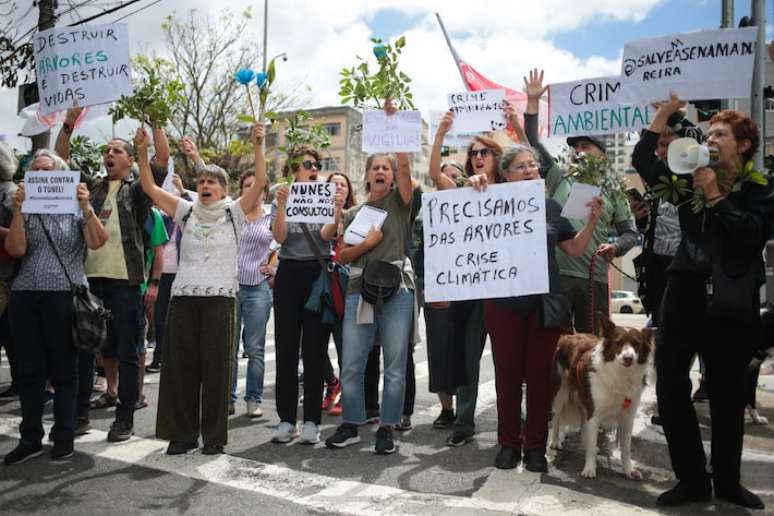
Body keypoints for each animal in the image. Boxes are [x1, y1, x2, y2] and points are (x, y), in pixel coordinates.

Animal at [552, 314, 656, 480]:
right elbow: (592, 440)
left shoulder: (627, 416)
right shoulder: (594, 412)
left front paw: (628, 470)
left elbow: (626, 448)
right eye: (618, 342)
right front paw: (589, 468)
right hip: (561, 391)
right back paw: (555, 441)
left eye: (636, 344)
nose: (628, 358)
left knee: (583, 419)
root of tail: (569, 335)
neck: (621, 374)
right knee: (557, 416)